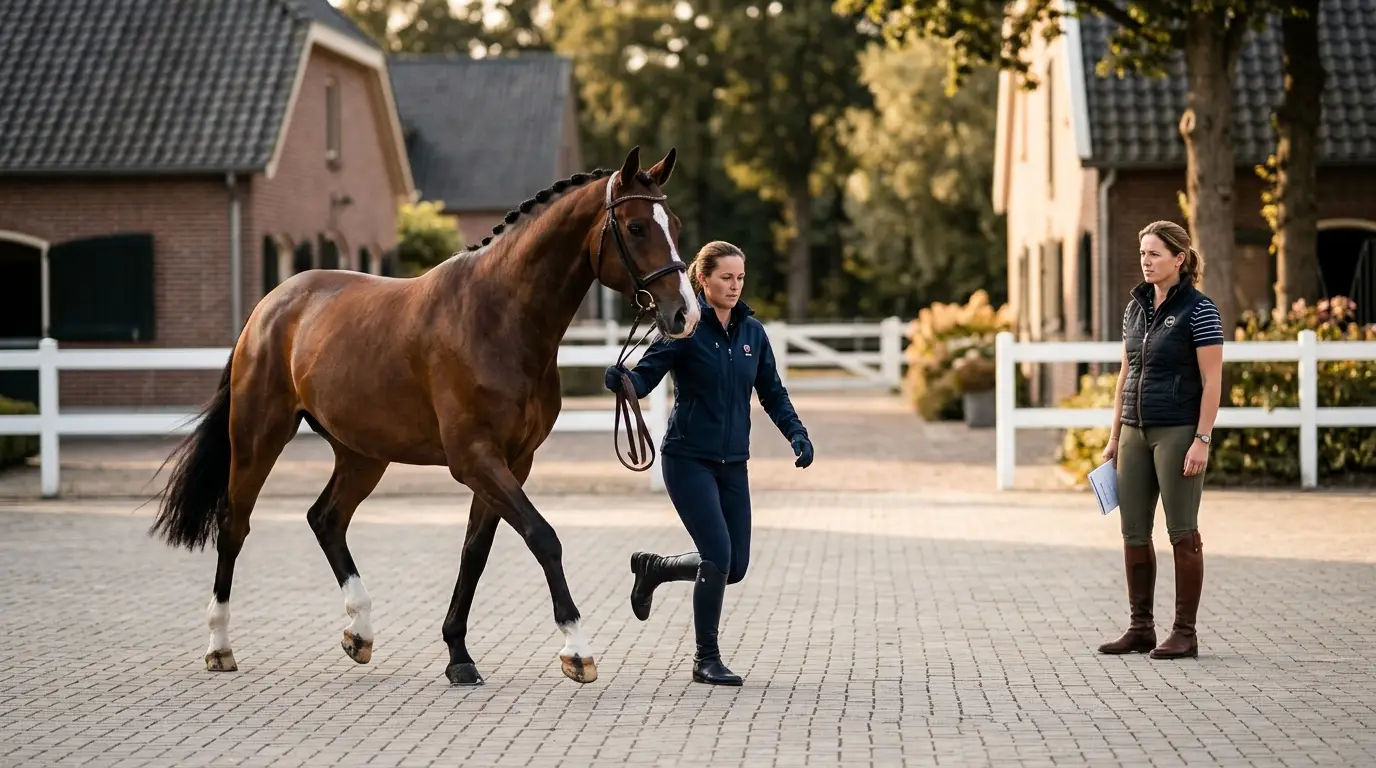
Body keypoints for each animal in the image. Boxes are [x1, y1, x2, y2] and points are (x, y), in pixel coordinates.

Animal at [148, 146, 701, 687]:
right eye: (636, 227)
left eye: (674, 223)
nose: (685, 314)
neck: (499, 318)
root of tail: (269, 307)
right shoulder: (475, 459)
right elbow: (543, 537)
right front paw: (577, 649)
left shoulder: (512, 462)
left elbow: (475, 552)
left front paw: (459, 655)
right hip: (259, 437)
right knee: (234, 525)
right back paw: (219, 646)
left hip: (362, 454)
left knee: (326, 519)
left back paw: (360, 632)